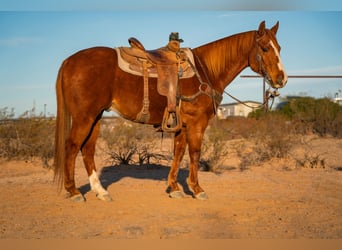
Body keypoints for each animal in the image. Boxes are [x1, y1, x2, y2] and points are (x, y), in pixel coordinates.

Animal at [54, 20, 288, 202]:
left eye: (279, 47)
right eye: (265, 48)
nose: (282, 79)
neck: (205, 71)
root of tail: (68, 61)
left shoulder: (181, 125)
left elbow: (178, 152)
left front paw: (175, 188)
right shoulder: (196, 123)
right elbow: (194, 153)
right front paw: (197, 189)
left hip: (96, 117)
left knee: (88, 150)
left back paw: (101, 191)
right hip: (85, 117)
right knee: (72, 146)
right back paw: (74, 191)